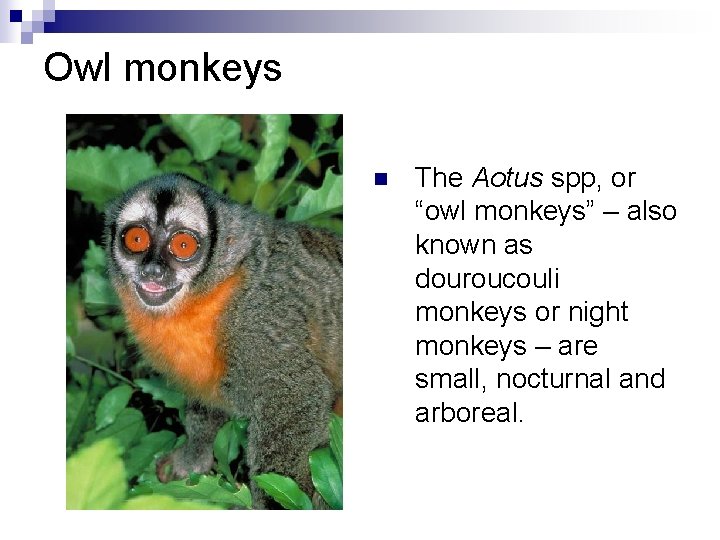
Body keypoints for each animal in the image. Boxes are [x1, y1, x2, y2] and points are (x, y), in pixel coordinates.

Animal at [104, 173, 342, 509]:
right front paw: (192, 458)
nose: (153, 270)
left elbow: (297, 395)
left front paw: (275, 503)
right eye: (136, 239)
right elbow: (205, 404)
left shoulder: (258, 318)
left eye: (183, 245)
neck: (208, 292)